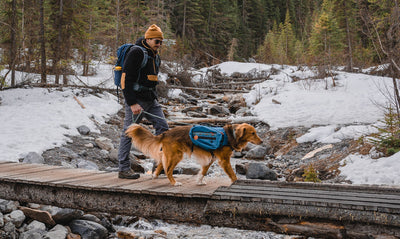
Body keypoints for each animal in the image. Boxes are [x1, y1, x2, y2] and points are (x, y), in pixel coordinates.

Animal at [125, 122, 262, 186]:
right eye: (253, 133)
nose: (262, 141)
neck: (230, 135)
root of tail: (166, 133)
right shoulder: (224, 160)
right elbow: (233, 175)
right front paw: (236, 182)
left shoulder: (210, 159)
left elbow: (203, 172)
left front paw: (199, 182)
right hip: (176, 156)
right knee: (168, 170)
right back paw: (174, 183)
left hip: (171, 155)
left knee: (160, 166)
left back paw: (154, 176)